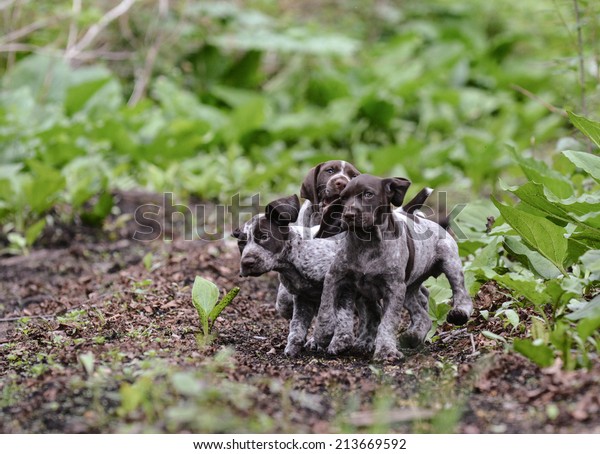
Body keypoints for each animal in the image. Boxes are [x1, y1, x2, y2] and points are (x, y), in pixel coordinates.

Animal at [310, 174, 474, 362]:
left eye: (368, 194)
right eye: (343, 198)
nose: (348, 215)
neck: (367, 242)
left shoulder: (394, 289)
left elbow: (388, 322)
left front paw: (385, 350)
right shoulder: (335, 277)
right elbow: (327, 307)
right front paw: (326, 335)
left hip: (449, 262)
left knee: (460, 292)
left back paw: (459, 312)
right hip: (408, 289)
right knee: (422, 315)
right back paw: (413, 335)